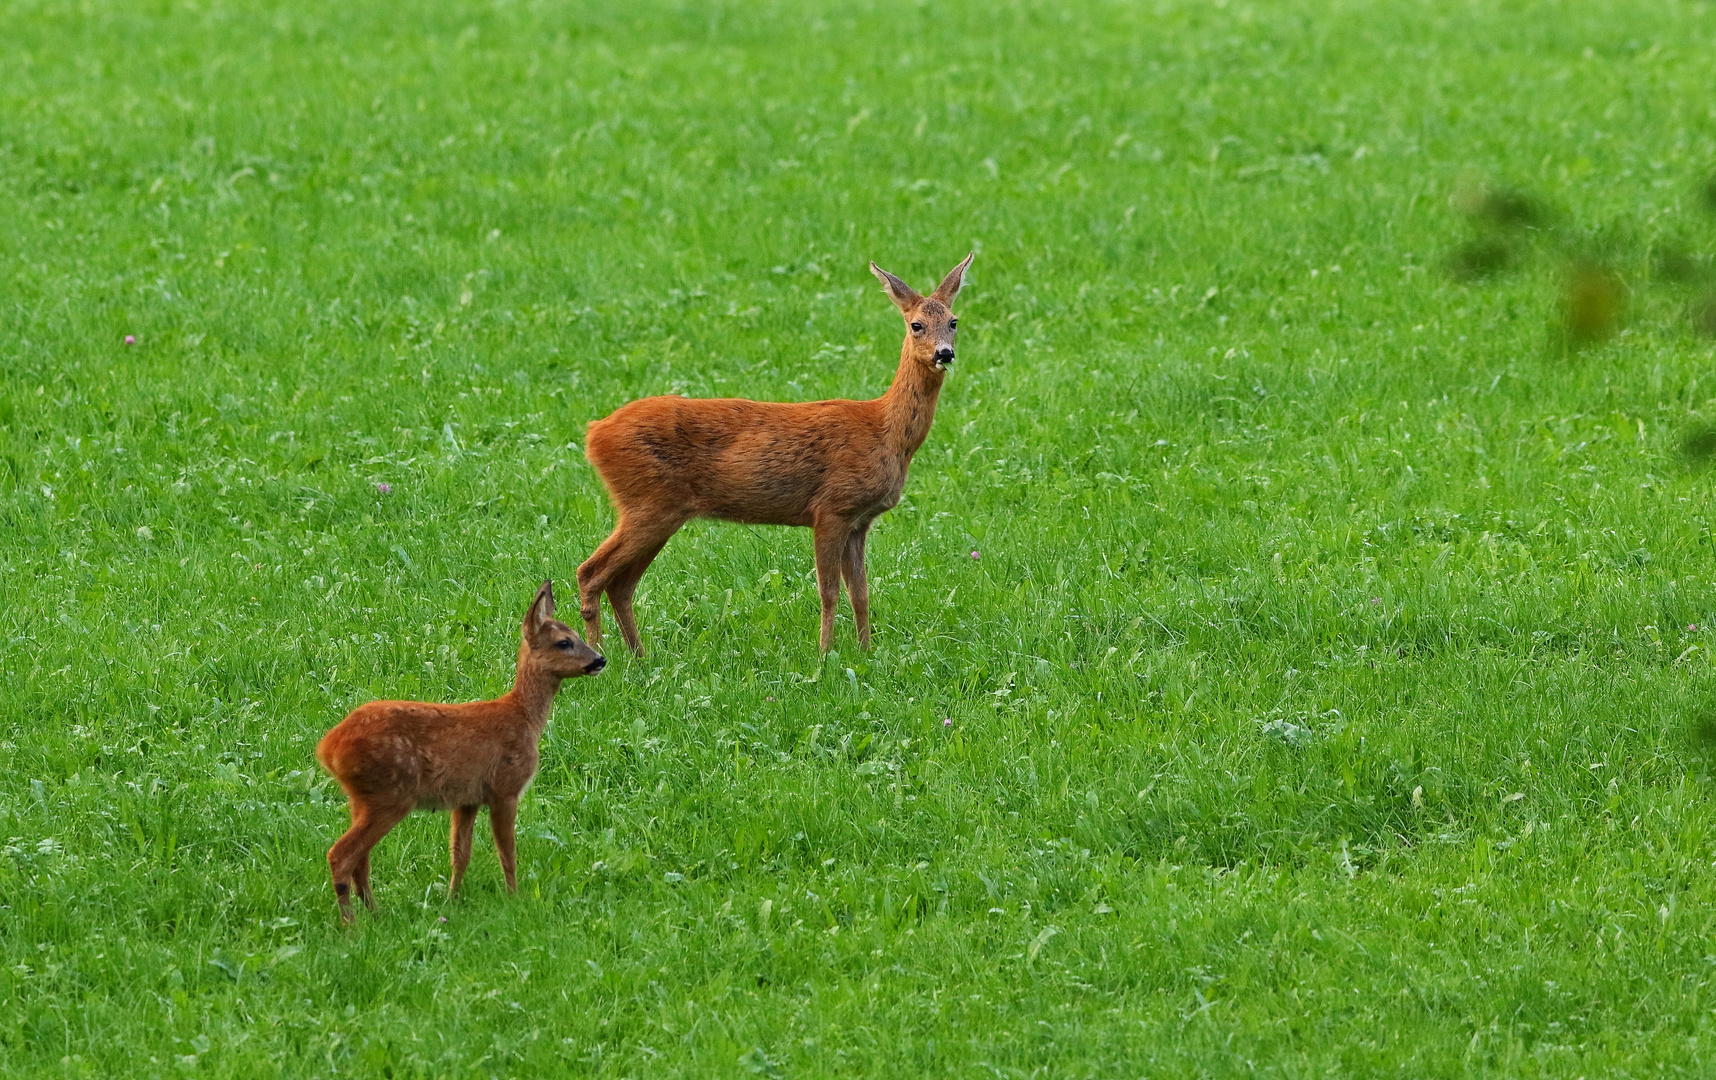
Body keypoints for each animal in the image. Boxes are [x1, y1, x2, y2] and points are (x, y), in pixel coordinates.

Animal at [319, 576, 607, 920]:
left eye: (577, 634)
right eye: (564, 642)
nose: (600, 659)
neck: (523, 717)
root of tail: (328, 749)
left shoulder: (466, 798)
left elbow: (460, 853)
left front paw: (452, 900)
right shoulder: (504, 787)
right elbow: (507, 851)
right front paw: (515, 898)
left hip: (362, 798)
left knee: (360, 858)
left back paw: (375, 912)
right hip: (390, 793)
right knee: (341, 854)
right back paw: (351, 923)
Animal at [580, 252, 974, 652]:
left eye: (953, 321)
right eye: (916, 325)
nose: (945, 353)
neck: (886, 432)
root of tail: (594, 433)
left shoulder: (859, 521)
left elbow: (861, 593)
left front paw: (865, 651)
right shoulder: (830, 507)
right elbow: (828, 591)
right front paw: (824, 653)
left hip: (656, 510)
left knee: (620, 584)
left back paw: (638, 655)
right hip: (648, 502)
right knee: (590, 572)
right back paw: (598, 652)